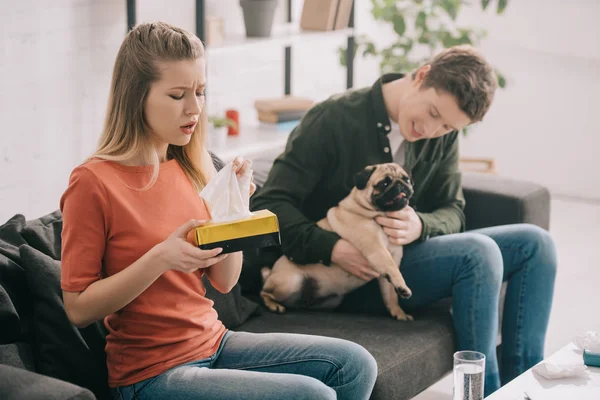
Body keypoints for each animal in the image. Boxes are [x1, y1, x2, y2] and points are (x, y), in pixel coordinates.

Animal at [260, 162, 414, 322]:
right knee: (264, 293)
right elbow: (392, 269)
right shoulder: (377, 251)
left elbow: (391, 295)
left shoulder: (392, 260)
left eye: (407, 180)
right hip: (292, 281)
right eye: (384, 184)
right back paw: (274, 305)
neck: (380, 214)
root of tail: (270, 275)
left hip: (331, 301)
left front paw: (398, 312)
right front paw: (403, 286)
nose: (401, 185)